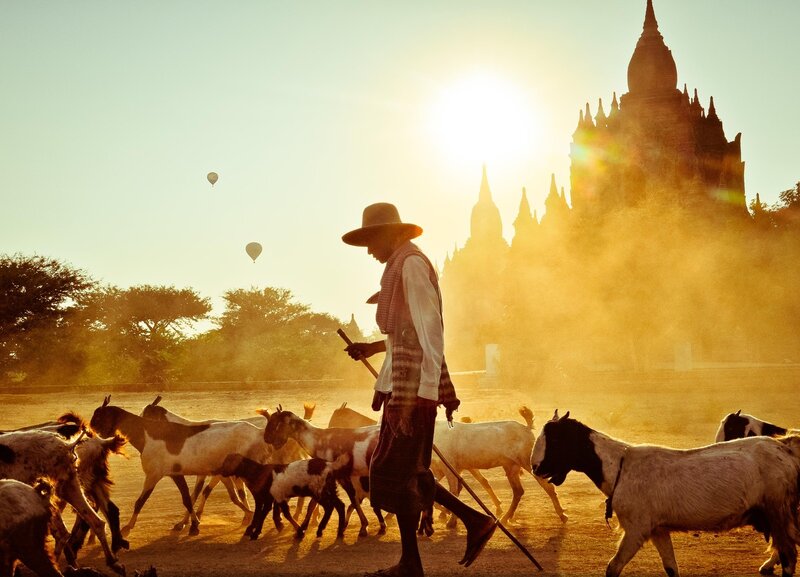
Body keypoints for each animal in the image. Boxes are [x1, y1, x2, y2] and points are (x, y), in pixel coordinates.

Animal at [89, 395, 269, 537]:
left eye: (98, 417)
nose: (89, 434)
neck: (148, 435)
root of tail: (258, 432)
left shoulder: (154, 474)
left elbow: (140, 501)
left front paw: (127, 527)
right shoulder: (176, 473)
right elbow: (188, 499)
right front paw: (193, 525)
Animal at [218, 452, 349, 541]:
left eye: (227, 462)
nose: (219, 471)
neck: (257, 473)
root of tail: (329, 465)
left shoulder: (273, 497)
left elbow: (277, 513)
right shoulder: (266, 498)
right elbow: (262, 513)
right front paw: (253, 531)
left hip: (320, 490)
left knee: (331, 506)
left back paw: (327, 530)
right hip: (328, 489)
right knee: (338, 505)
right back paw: (336, 532)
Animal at [261, 407, 379, 536]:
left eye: (274, 422)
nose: (266, 438)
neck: (319, 440)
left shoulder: (338, 477)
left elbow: (352, 498)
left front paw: (363, 525)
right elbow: (313, 504)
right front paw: (304, 526)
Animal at [531, 410, 800, 577]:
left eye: (556, 440)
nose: (535, 467)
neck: (620, 466)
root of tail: (785, 448)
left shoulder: (637, 529)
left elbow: (613, 567)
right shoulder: (658, 529)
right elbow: (671, 567)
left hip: (777, 512)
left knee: (789, 558)